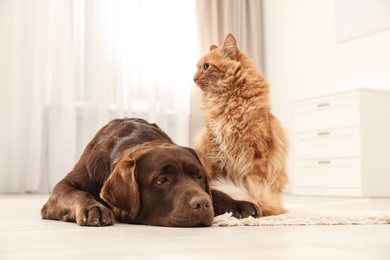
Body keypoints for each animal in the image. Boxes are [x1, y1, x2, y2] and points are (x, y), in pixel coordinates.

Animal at [40, 117, 213, 226]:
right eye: (161, 181)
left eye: (198, 176)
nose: (203, 203)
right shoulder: (66, 185)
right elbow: (77, 193)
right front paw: (94, 208)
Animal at [193, 33, 288, 218]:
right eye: (197, 67)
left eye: (206, 66)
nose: (193, 78)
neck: (228, 101)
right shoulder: (218, 152)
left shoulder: (257, 153)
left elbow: (254, 185)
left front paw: (255, 203)